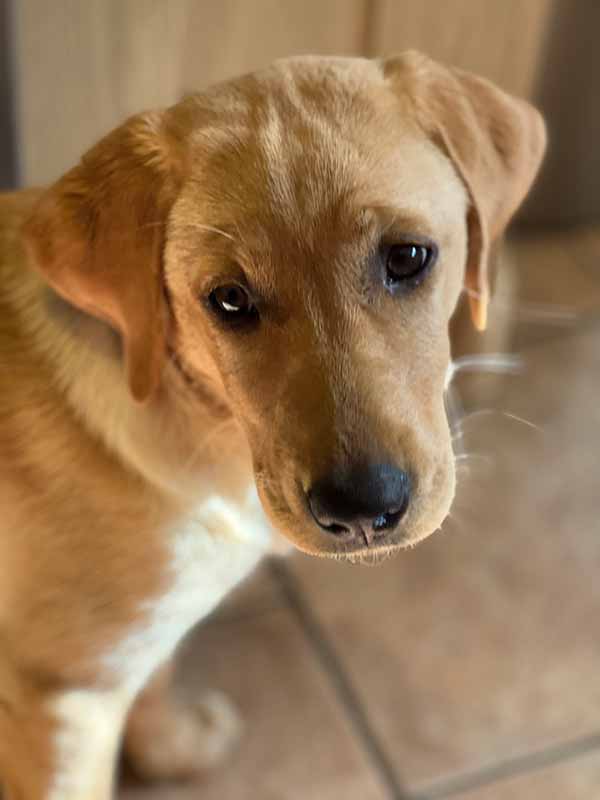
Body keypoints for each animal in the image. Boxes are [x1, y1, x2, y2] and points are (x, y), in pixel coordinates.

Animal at [0, 53, 544, 796]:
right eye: (229, 300)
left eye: (407, 258)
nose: (362, 510)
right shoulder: (61, 692)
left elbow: (156, 677)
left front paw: (172, 748)